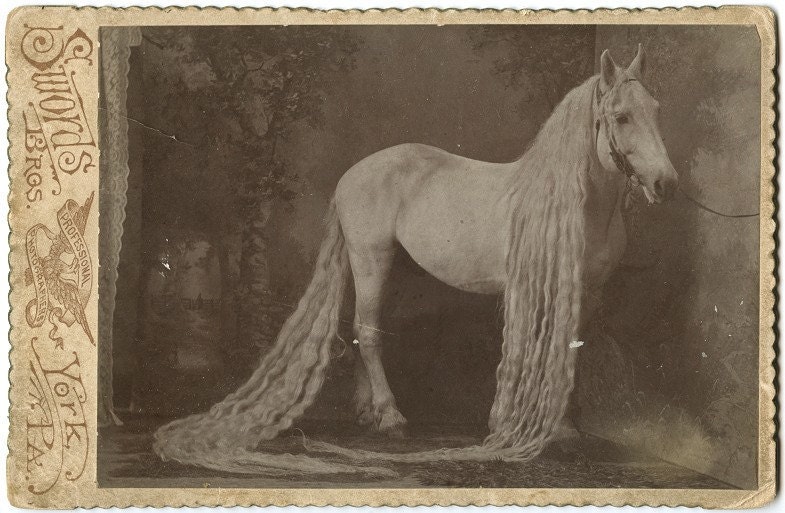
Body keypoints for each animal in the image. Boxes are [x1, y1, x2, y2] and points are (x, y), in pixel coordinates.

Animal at [153, 44, 678, 474]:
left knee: (364, 329)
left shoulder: (589, 291)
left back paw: (368, 413)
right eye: (621, 116)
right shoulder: (527, 289)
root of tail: (351, 175)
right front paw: (507, 424)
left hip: (395, 270)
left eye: (656, 110)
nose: (666, 184)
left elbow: (572, 349)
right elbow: (524, 351)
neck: (580, 206)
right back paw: (390, 418)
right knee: (368, 331)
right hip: (370, 259)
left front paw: (565, 431)